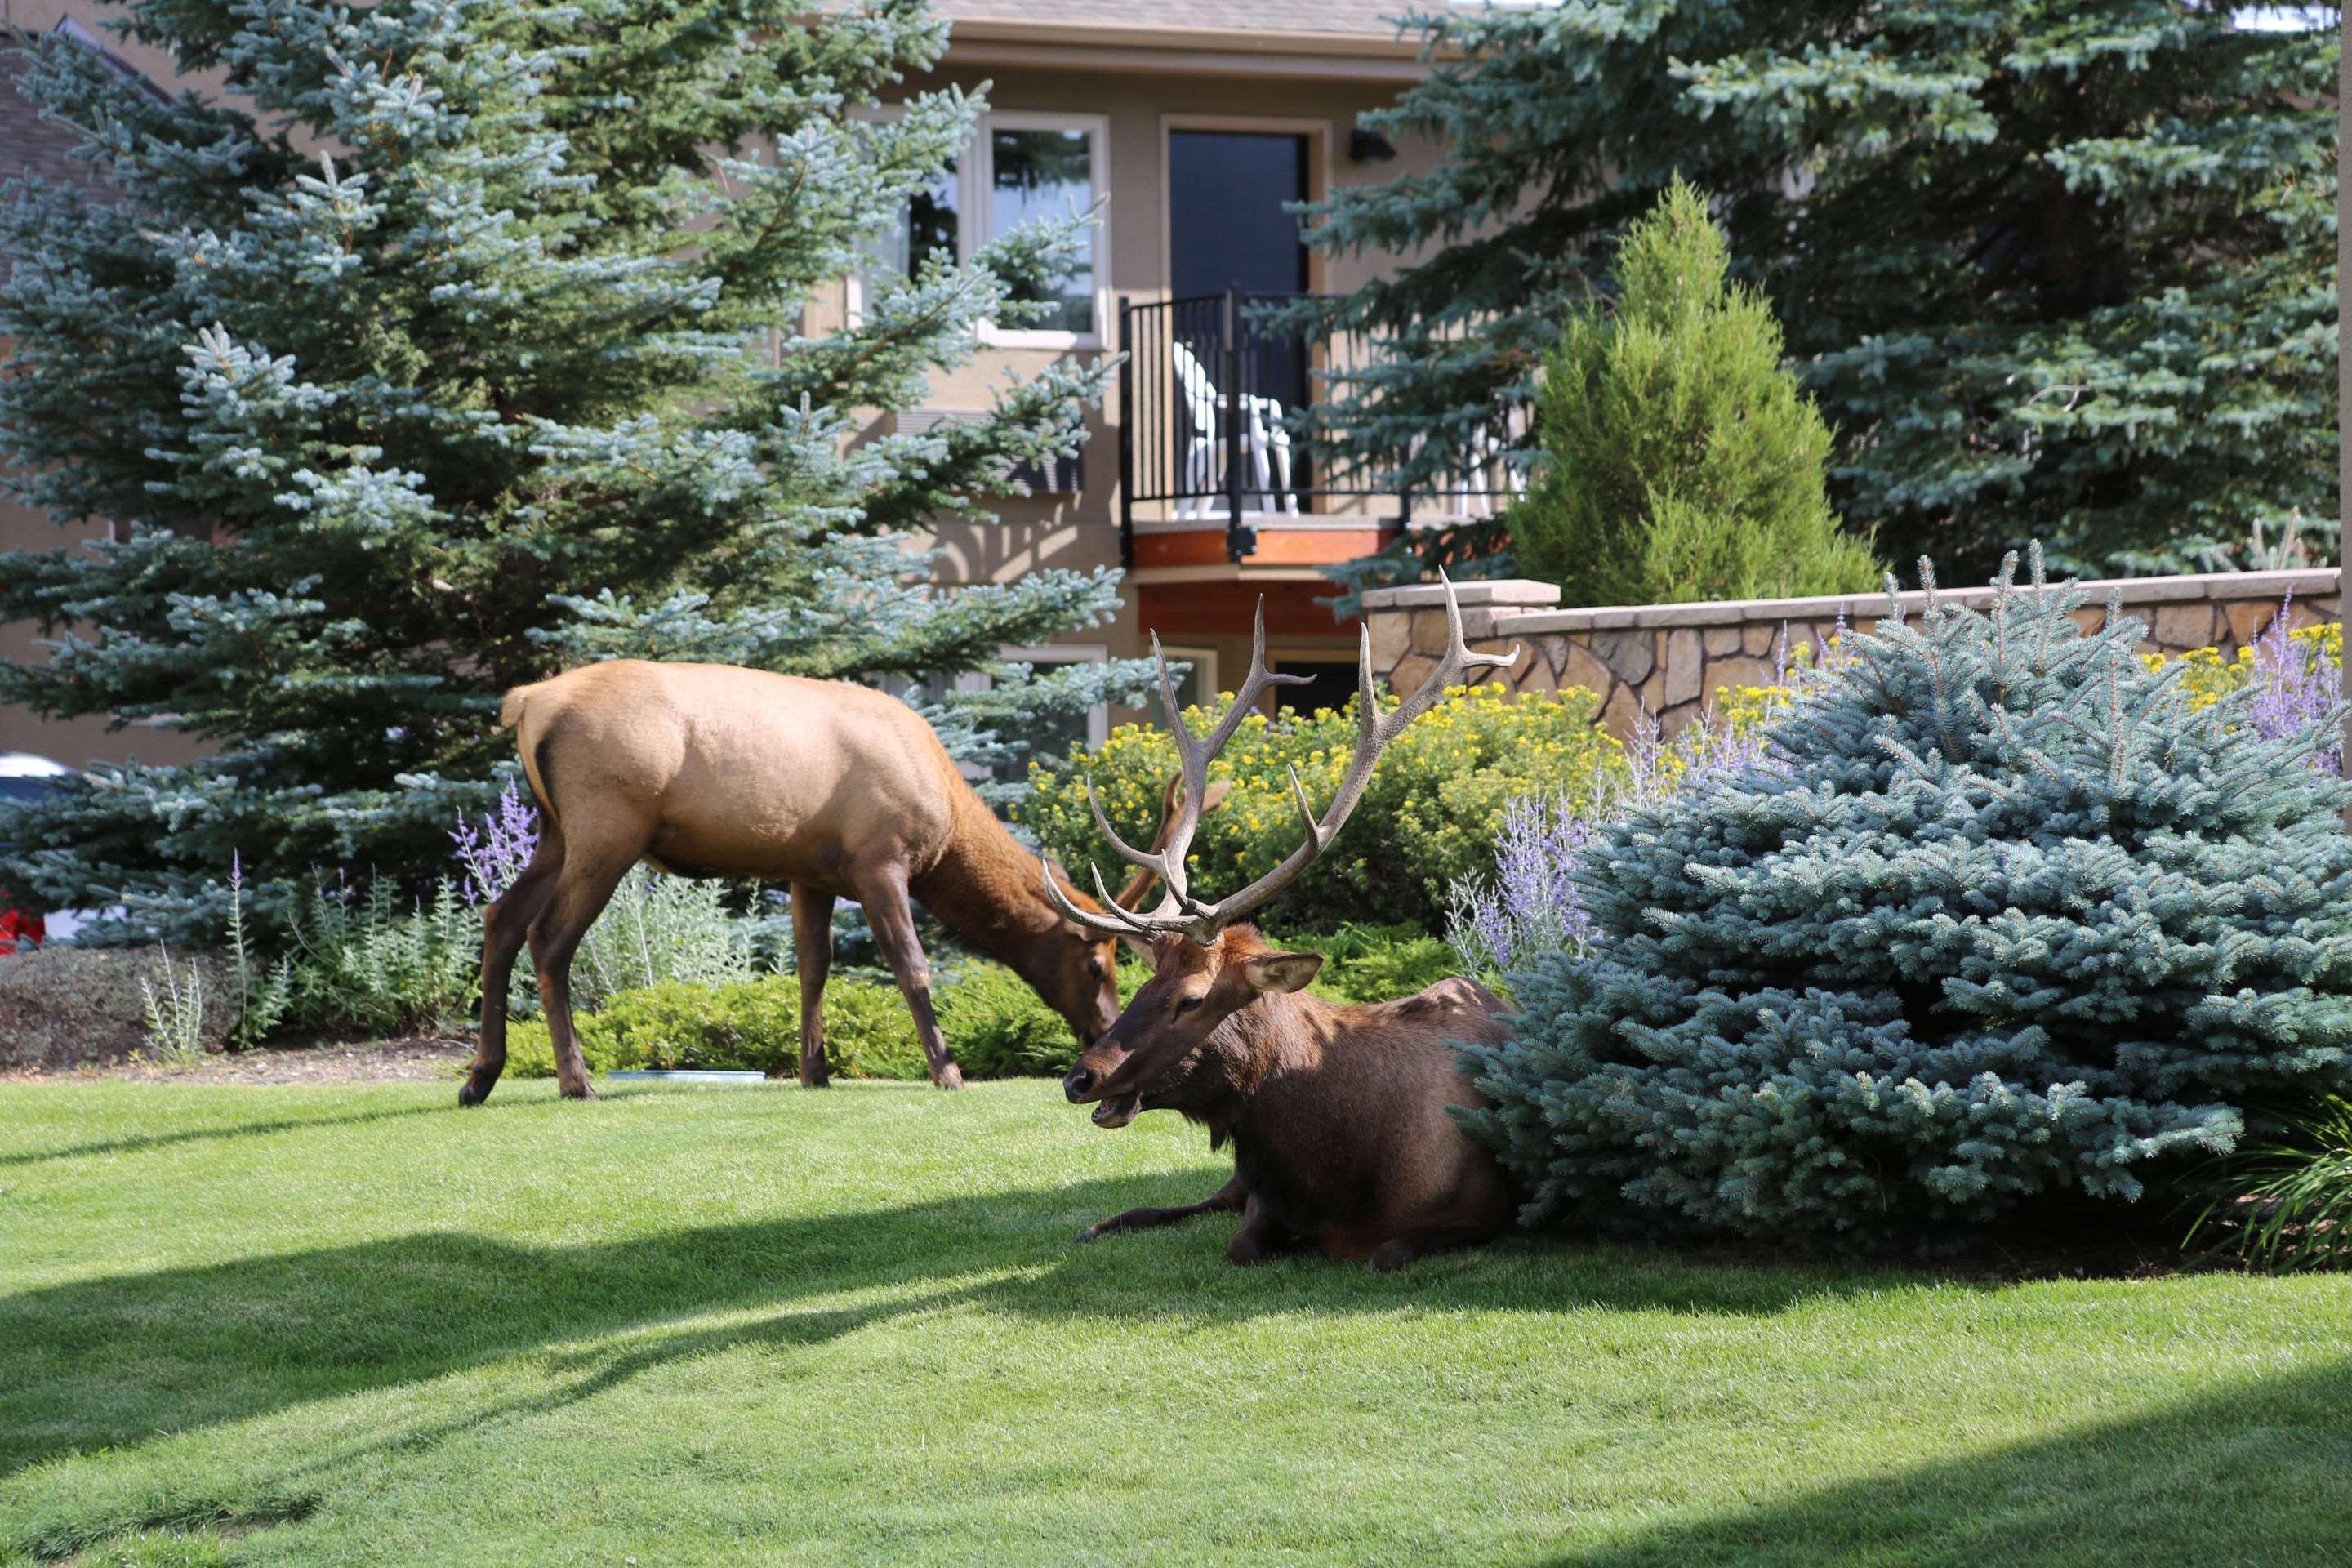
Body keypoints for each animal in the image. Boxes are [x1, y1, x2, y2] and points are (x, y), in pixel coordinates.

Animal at [463, 657, 1232, 1104]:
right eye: (1098, 961)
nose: (1102, 1032)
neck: (945, 825)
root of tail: (526, 702)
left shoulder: (809, 871)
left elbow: (814, 967)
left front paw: (816, 1069)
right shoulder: (879, 858)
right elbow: (911, 965)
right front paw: (947, 1071)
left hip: (556, 828)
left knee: (500, 917)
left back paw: (481, 1077)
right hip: (608, 824)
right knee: (549, 939)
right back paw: (576, 1080)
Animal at [1049, 581, 1524, 1278]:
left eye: (1191, 1000)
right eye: (1141, 986)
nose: (1079, 1078)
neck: (1340, 1169)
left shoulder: (1485, 1213)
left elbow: (1387, 1253)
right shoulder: (1261, 1197)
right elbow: (1241, 1244)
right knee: (1167, 1206)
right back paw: (1097, 1225)